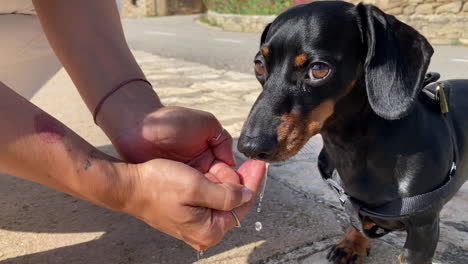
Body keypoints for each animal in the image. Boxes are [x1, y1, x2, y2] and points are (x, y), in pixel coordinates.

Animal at [238, 1, 468, 262]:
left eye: (318, 69)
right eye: (259, 65)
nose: (249, 146)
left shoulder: (423, 229)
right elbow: (357, 222)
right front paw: (352, 243)